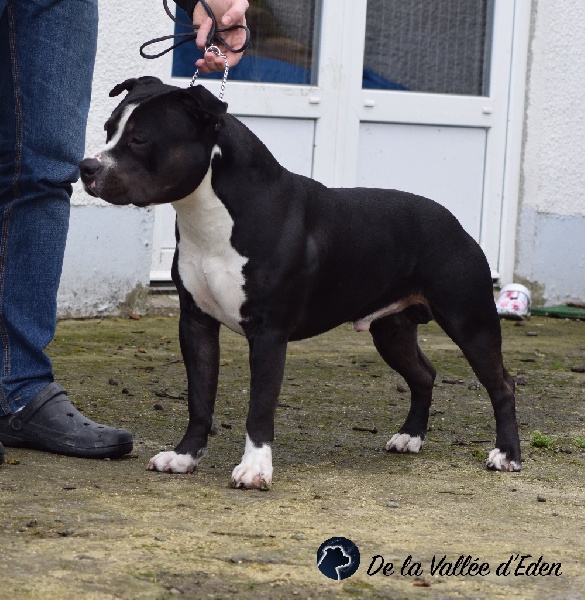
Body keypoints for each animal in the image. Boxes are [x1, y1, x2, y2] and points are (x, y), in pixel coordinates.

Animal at [80, 76, 521, 489]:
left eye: (139, 139)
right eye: (108, 130)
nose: (87, 167)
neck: (211, 217)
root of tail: (455, 222)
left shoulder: (269, 333)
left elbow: (260, 407)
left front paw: (255, 469)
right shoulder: (195, 323)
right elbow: (199, 399)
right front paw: (185, 457)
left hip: (470, 320)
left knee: (502, 383)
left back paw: (507, 455)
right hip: (391, 330)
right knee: (423, 374)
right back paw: (410, 437)